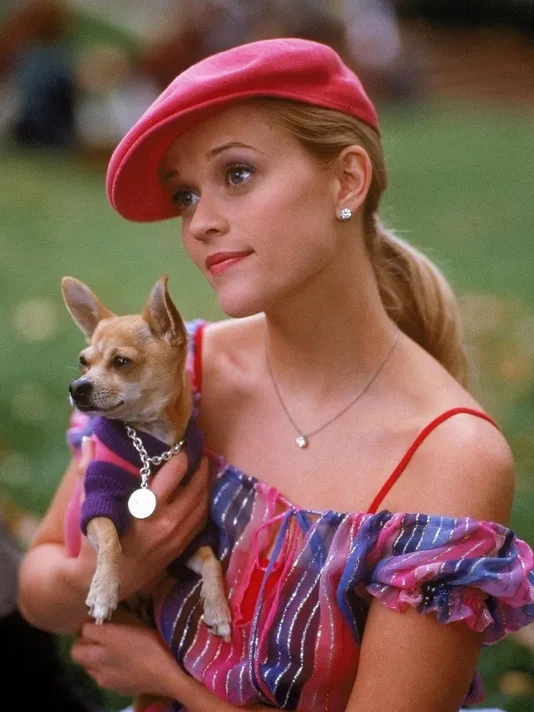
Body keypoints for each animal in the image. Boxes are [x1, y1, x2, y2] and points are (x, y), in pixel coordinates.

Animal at [61, 275, 231, 642]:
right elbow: (111, 539)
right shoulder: (97, 499)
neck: (150, 443)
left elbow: (211, 560)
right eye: (83, 361)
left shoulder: (190, 539)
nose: (76, 386)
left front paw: (218, 608)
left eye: (121, 362)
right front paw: (103, 591)